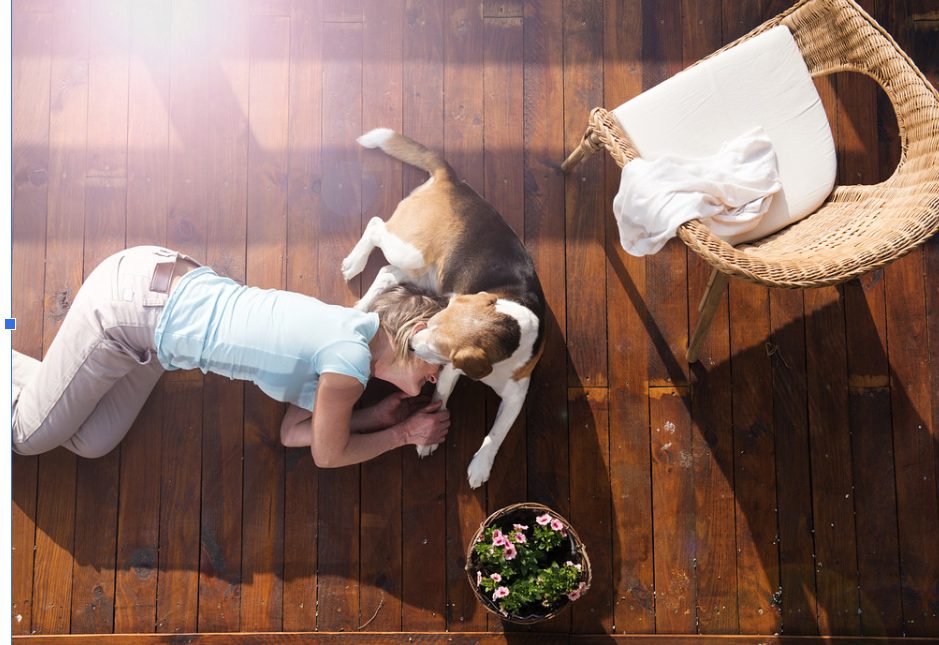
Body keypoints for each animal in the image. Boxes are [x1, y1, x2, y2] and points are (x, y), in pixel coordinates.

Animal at [341, 128, 546, 488]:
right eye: (432, 320)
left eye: (439, 346)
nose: (410, 345)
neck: (511, 321)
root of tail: (451, 180)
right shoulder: (451, 371)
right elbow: (439, 400)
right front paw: (429, 437)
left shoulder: (516, 393)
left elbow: (497, 433)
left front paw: (481, 465)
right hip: (410, 250)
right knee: (377, 226)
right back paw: (354, 263)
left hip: (422, 273)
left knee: (386, 273)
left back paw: (362, 306)